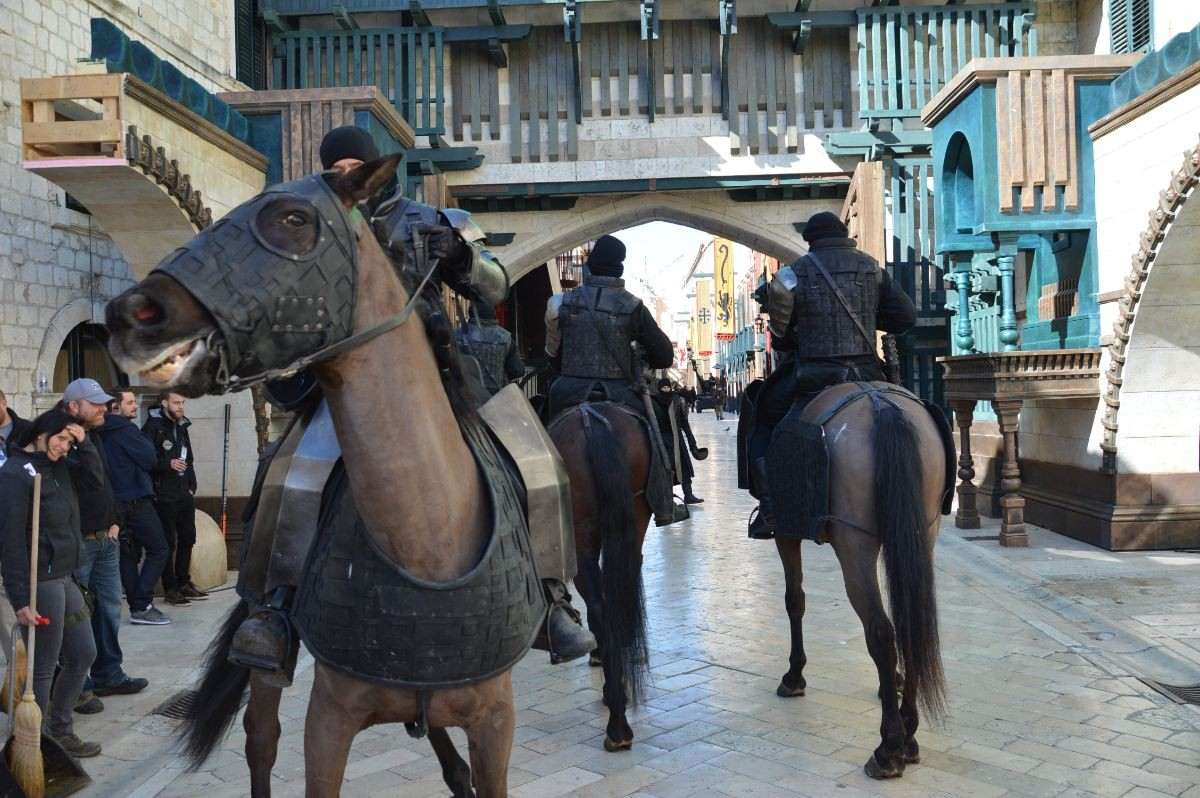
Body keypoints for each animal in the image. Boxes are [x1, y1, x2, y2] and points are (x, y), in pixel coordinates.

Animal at [105, 156, 527, 797]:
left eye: (292, 218)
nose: (131, 315)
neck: (426, 537)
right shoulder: (328, 723)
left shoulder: (495, 723)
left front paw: (453, 250)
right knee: (260, 740)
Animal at [769, 381, 948, 780]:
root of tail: (881, 403)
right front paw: (892, 684)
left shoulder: (784, 529)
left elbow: (794, 598)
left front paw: (794, 674)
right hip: (922, 530)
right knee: (910, 622)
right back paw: (909, 735)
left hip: (855, 543)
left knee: (880, 632)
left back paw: (889, 748)